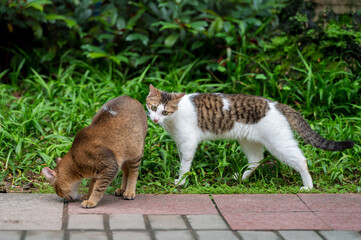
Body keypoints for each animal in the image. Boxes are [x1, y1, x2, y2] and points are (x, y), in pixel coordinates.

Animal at [145, 84, 352, 189]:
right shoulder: (180, 143)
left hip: (279, 142)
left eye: (165, 112)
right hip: (248, 141)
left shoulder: (188, 143)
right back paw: (240, 177)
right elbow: (182, 161)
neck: (174, 117)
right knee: (256, 160)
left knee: (301, 160)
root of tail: (276, 104)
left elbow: (185, 165)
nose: (155, 119)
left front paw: (181, 182)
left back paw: (308, 186)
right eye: (153, 107)